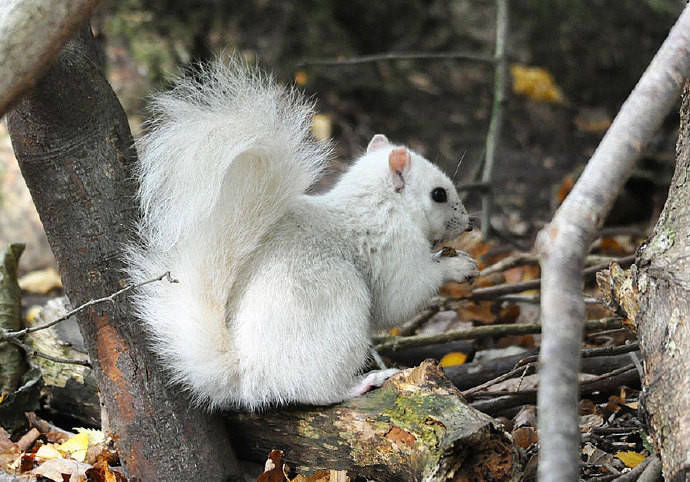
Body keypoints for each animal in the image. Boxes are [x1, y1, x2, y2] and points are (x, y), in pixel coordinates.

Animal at [125, 57, 478, 410]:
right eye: (438, 194)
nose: (469, 224)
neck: (379, 201)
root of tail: (248, 376)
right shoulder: (393, 245)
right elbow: (402, 297)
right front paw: (456, 265)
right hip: (339, 311)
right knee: (315, 391)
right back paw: (362, 382)